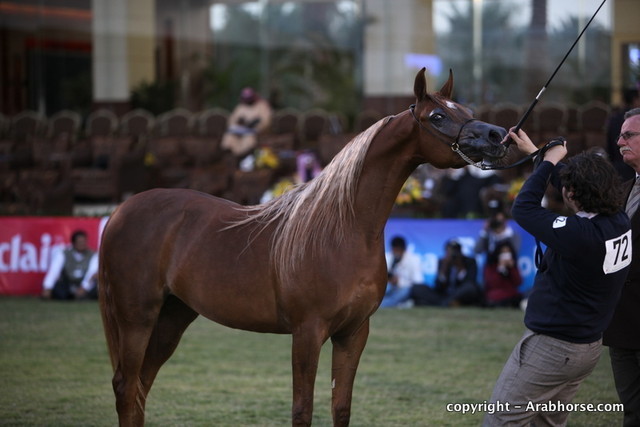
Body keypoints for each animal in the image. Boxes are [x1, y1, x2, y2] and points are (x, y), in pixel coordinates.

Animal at [98, 67, 508, 426]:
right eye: (437, 116)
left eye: (466, 111)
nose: (497, 135)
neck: (345, 229)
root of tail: (121, 210)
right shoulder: (307, 333)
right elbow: (302, 410)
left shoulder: (353, 334)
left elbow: (340, 408)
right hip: (137, 317)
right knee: (126, 387)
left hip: (173, 316)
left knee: (140, 386)